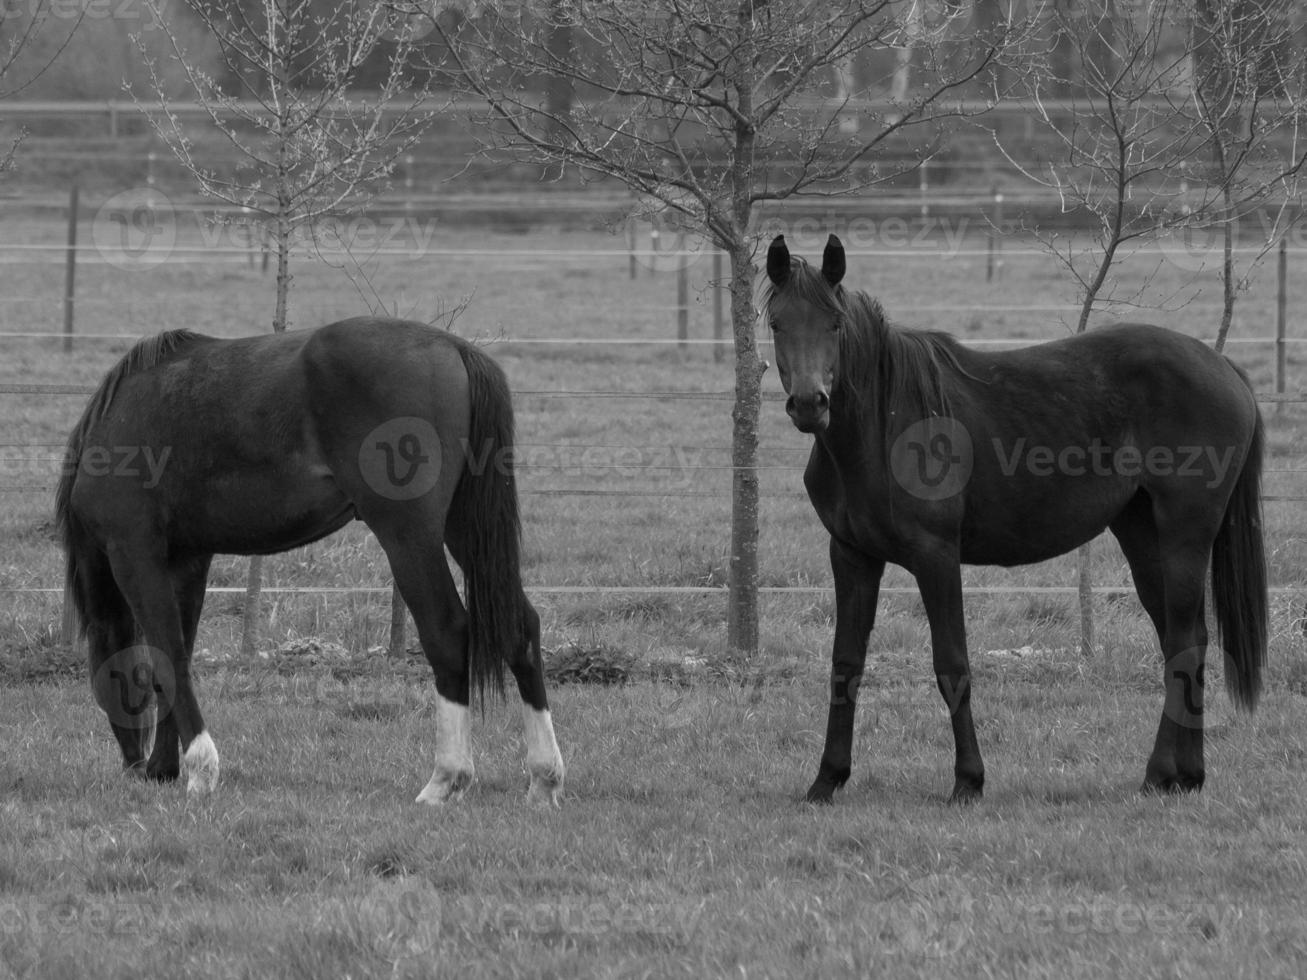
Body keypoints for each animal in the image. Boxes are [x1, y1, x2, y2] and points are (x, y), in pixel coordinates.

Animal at [54, 314, 562, 804]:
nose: (135, 767)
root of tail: (454, 349)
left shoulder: (135, 555)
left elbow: (169, 655)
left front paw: (200, 771)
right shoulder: (188, 561)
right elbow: (175, 655)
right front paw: (166, 768)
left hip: (408, 536)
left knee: (447, 632)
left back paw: (444, 780)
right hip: (464, 529)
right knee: (519, 627)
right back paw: (543, 777)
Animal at [763, 233, 1265, 799]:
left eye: (834, 324)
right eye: (777, 323)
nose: (810, 404)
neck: (883, 425)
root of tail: (1223, 367)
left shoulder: (936, 557)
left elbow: (951, 663)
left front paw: (968, 781)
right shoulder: (852, 556)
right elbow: (846, 663)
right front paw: (827, 780)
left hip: (1186, 535)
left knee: (1182, 639)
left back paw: (1160, 772)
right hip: (1142, 535)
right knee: (1188, 641)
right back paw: (1187, 775)